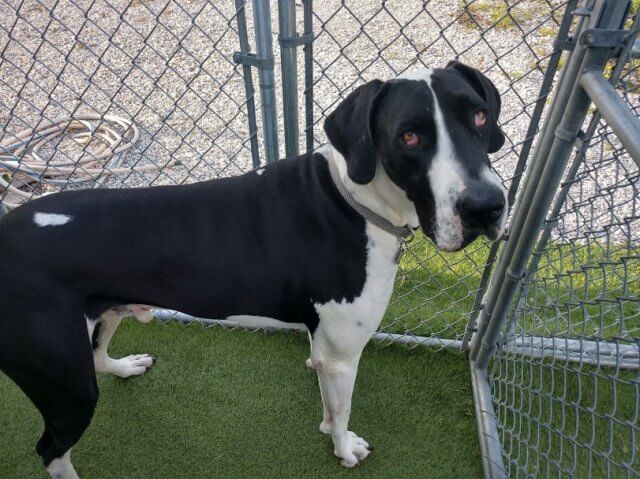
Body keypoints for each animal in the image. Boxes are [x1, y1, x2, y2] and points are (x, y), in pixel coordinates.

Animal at [0, 61, 507, 478]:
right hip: (67, 385)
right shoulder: (343, 356)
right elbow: (341, 414)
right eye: (409, 136)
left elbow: (327, 401)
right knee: (51, 450)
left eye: (480, 117)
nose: (487, 206)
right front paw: (344, 449)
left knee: (99, 358)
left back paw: (125, 366)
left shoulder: (324, 348)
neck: (355, 199)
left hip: (100, 320)